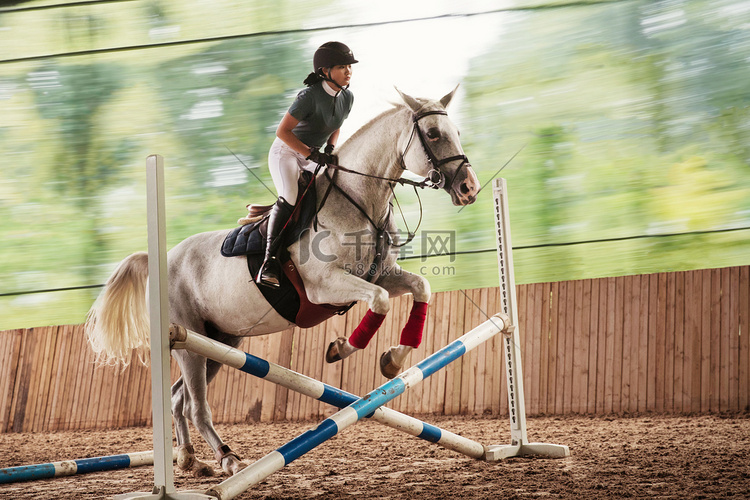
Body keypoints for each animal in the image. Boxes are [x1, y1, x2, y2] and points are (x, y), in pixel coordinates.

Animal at [83, 88, 482, 478]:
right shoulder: (325, 286)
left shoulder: (381, 274)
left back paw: (190, 459)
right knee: (196, 405)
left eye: (457, 132)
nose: (469, 188)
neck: (358, 202)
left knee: (179, 397)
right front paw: (342, 349)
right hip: (188, 340)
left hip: (220, 341)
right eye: (433, 134)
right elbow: (381, 300)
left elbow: (420, 288)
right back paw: (227, 459)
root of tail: (160, 260)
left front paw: (393, 359)